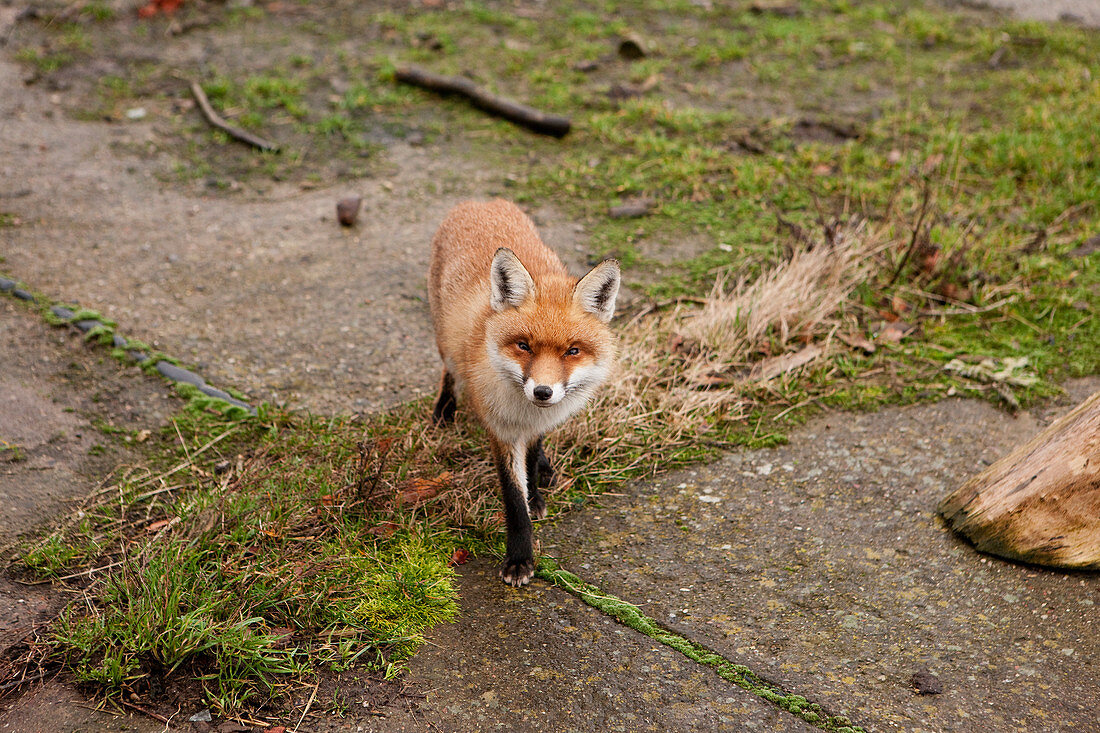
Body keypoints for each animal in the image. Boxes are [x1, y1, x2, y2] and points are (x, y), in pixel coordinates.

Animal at [426, 197, 620, 585]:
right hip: (445, 343)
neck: (526, 413)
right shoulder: (500, 429)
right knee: (448, 373)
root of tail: (480, 201)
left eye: (572, 351)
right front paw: (519, 558)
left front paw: (535, 492)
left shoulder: (533, 426)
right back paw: (444, 410)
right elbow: (513, 500)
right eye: (523, 346)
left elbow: (529, 464)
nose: (543, 392)